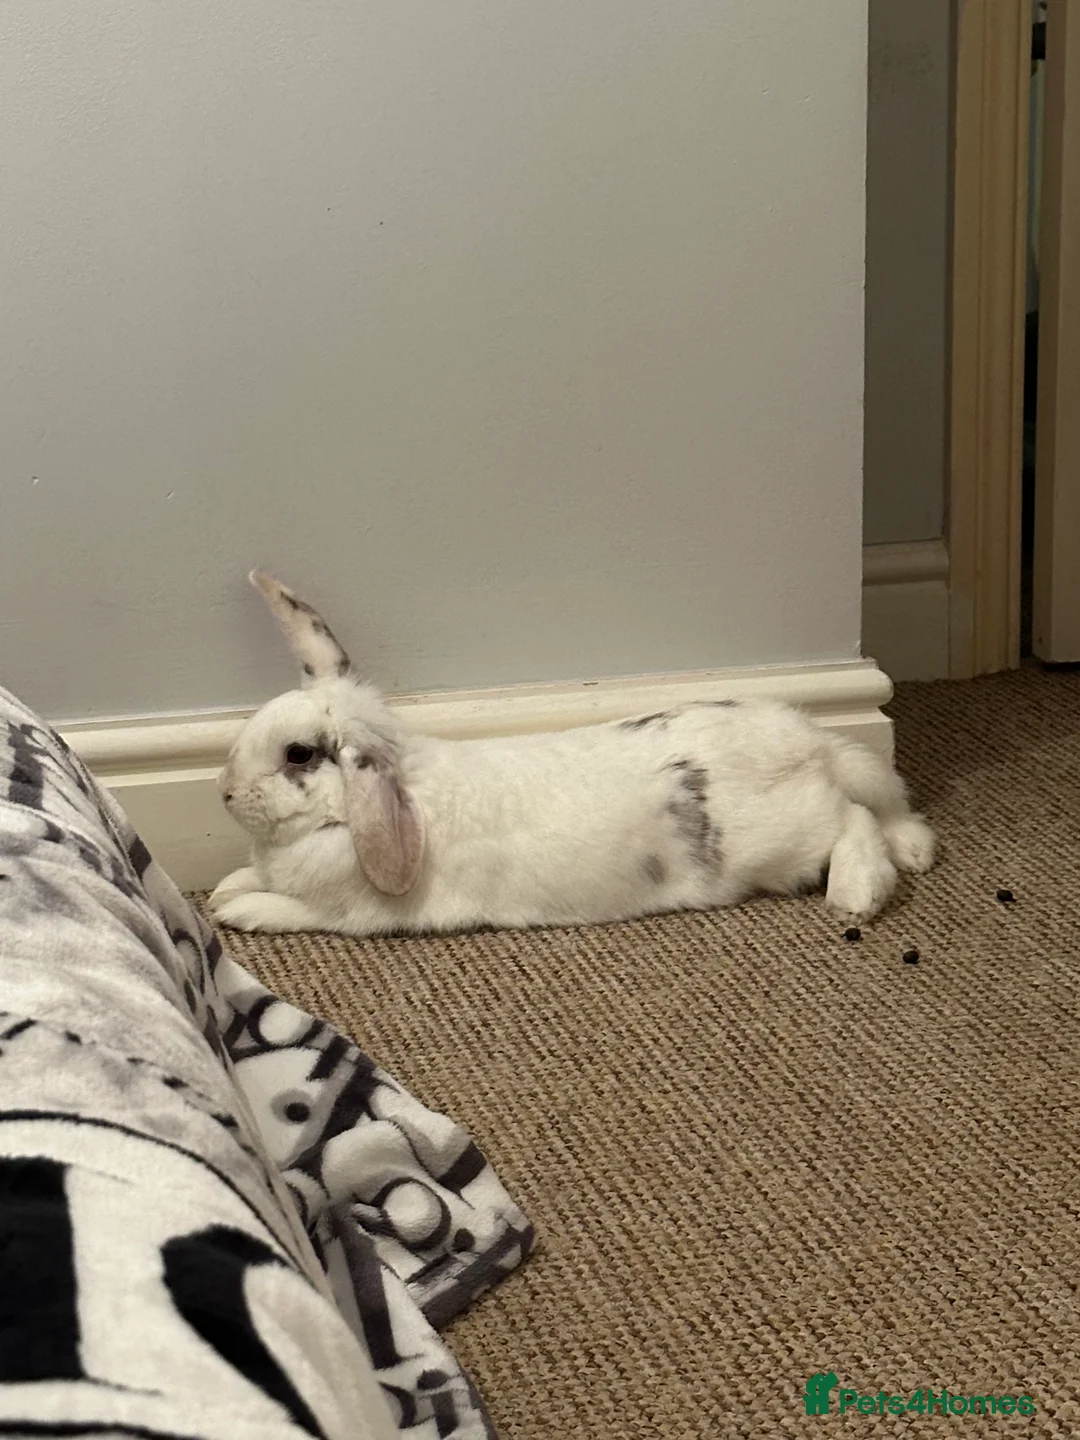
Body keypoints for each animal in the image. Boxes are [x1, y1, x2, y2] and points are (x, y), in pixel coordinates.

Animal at [208, 572, 935, 938]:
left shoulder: (350, 914)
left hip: (784, 841)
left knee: (853, 822)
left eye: (299, 755)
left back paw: (856, 896)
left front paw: (230, 910)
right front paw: (225, 886)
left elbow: (287, 910)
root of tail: (807, 740)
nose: (223, 792)